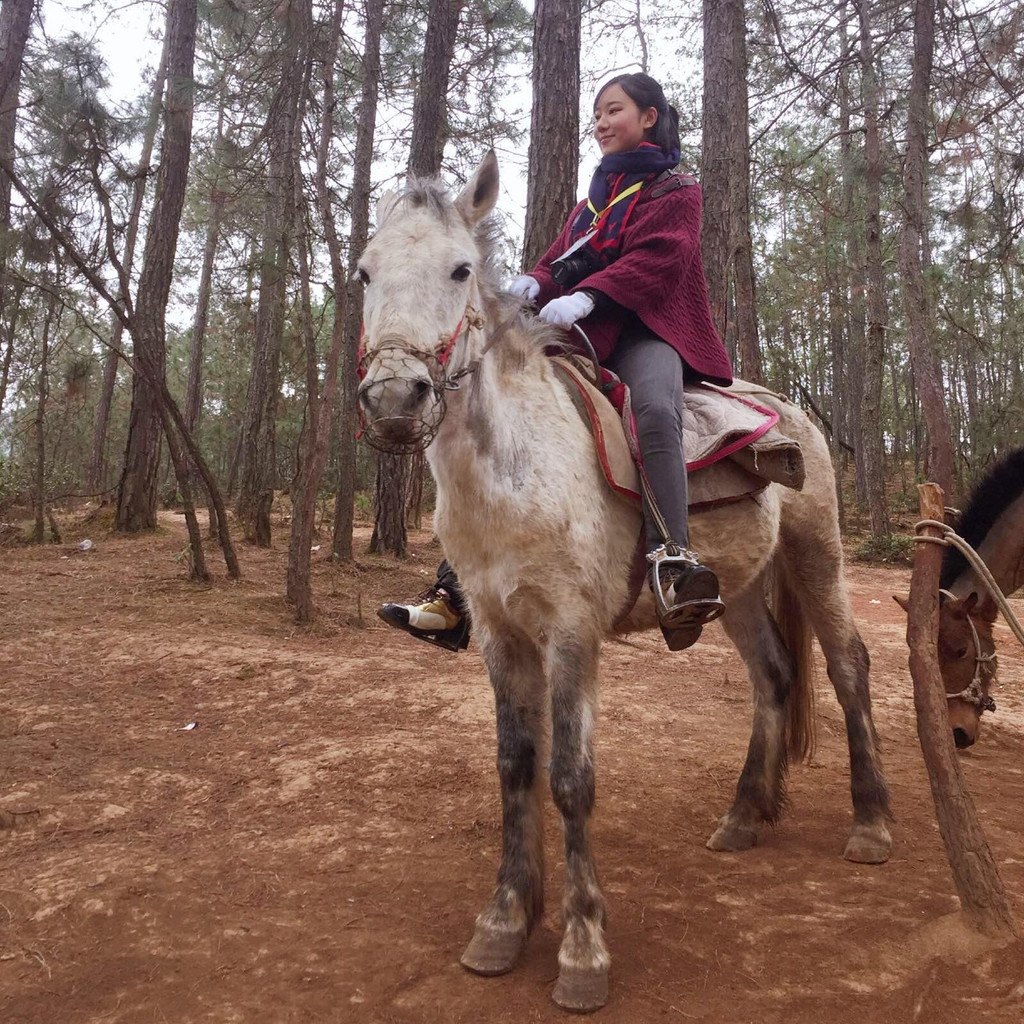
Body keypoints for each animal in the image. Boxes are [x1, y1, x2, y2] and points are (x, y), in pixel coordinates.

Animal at [354, 155, 888, 1011]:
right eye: (366, 273)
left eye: (461, 269)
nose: (395, 399)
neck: (516, 469)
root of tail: (790, 412)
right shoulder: (502, 635)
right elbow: (514, 767)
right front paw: (504, 922)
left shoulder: (572, 633)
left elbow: (571, 778)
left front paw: (582, 950)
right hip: (739, 590)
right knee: (774, 676)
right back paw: (743, 816)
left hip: (818, 555)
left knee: (848, 666)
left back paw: (870, 824)